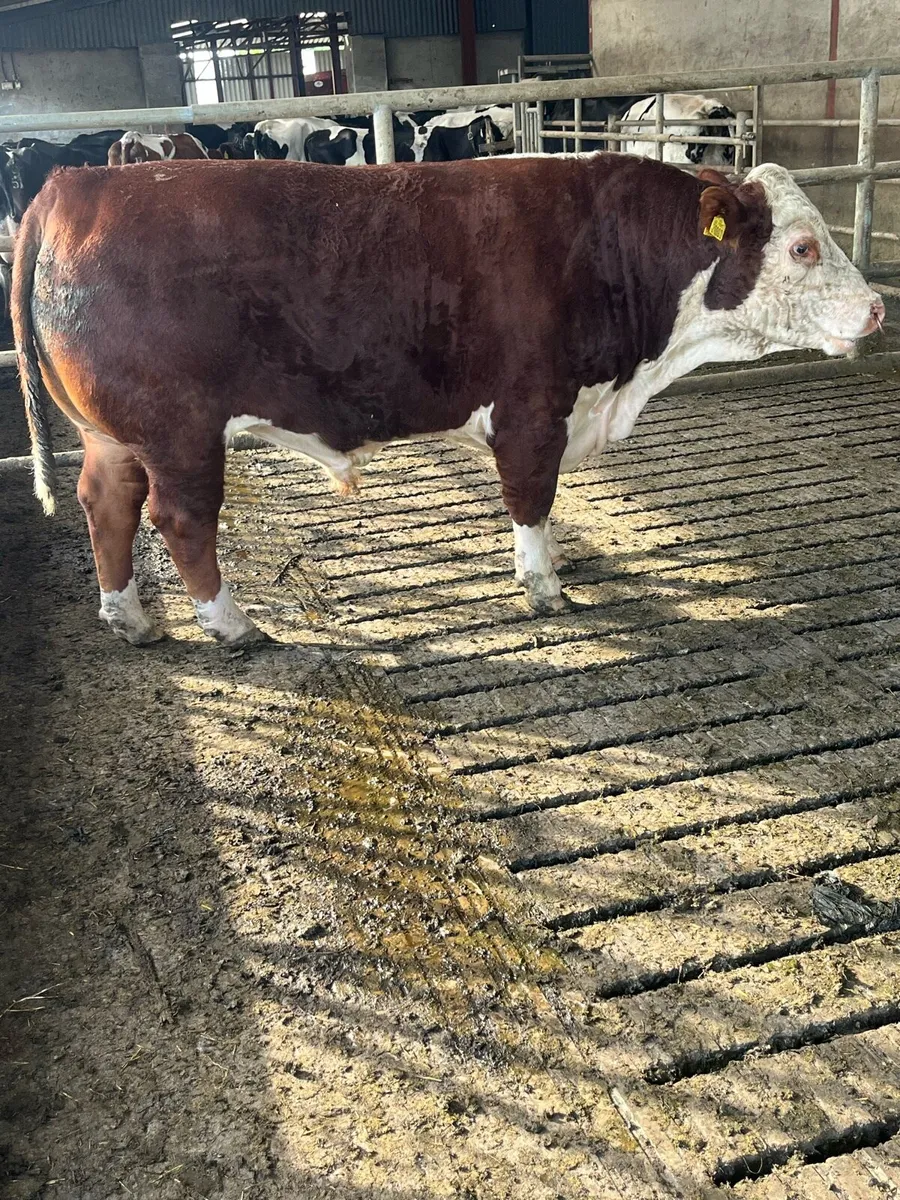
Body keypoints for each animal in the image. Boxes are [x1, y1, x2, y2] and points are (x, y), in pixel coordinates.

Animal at [13, 156, 884, 646]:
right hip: (180, 431)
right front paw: (544, 588)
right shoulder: (532, 410)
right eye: (804, 247)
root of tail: (74, 184)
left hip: (114, 433)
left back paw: (130, 618)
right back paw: (231, 625)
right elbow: (531, 500)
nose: (877, 307)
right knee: (180, 520)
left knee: (107, 504)